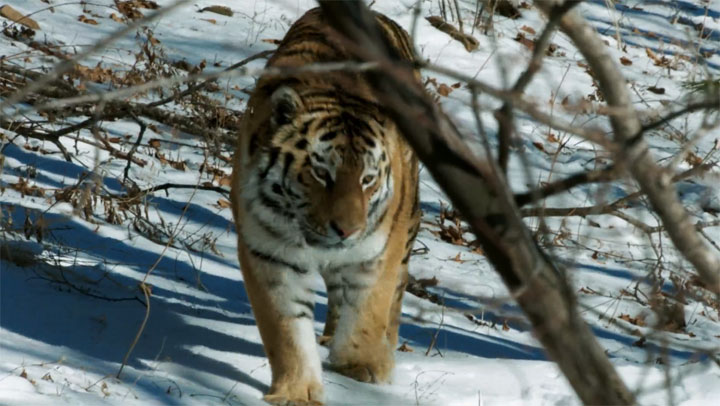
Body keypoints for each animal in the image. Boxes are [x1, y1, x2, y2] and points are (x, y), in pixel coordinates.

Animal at [231, 7, 422, 406]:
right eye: (321, 173)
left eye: (367, 179)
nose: (347, 230)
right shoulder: (269, 253)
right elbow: (286, 330)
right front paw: (296, 391)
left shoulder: (378, 251)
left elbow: (369, 308)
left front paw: (359, 367)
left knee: (396, 291)